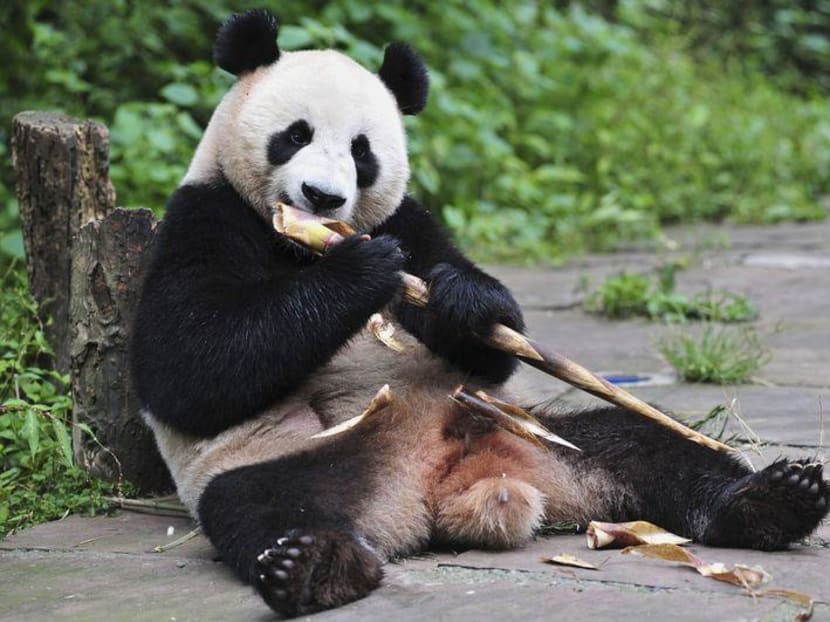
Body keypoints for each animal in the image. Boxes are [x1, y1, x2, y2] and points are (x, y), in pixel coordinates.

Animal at [129, 9, 829, 618]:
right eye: (295, 135)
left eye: (361, 151)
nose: (322, 197)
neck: (300, 244)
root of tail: (440, 489)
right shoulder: (204, 214)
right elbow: (188, 368)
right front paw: (363, 270)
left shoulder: (410, 217)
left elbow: (484, 328)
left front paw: (462, 299)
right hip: (294, 458)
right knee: (268, 507)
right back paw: (314, 568)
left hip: (528, 429)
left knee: (646, 444)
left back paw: (772, 499)